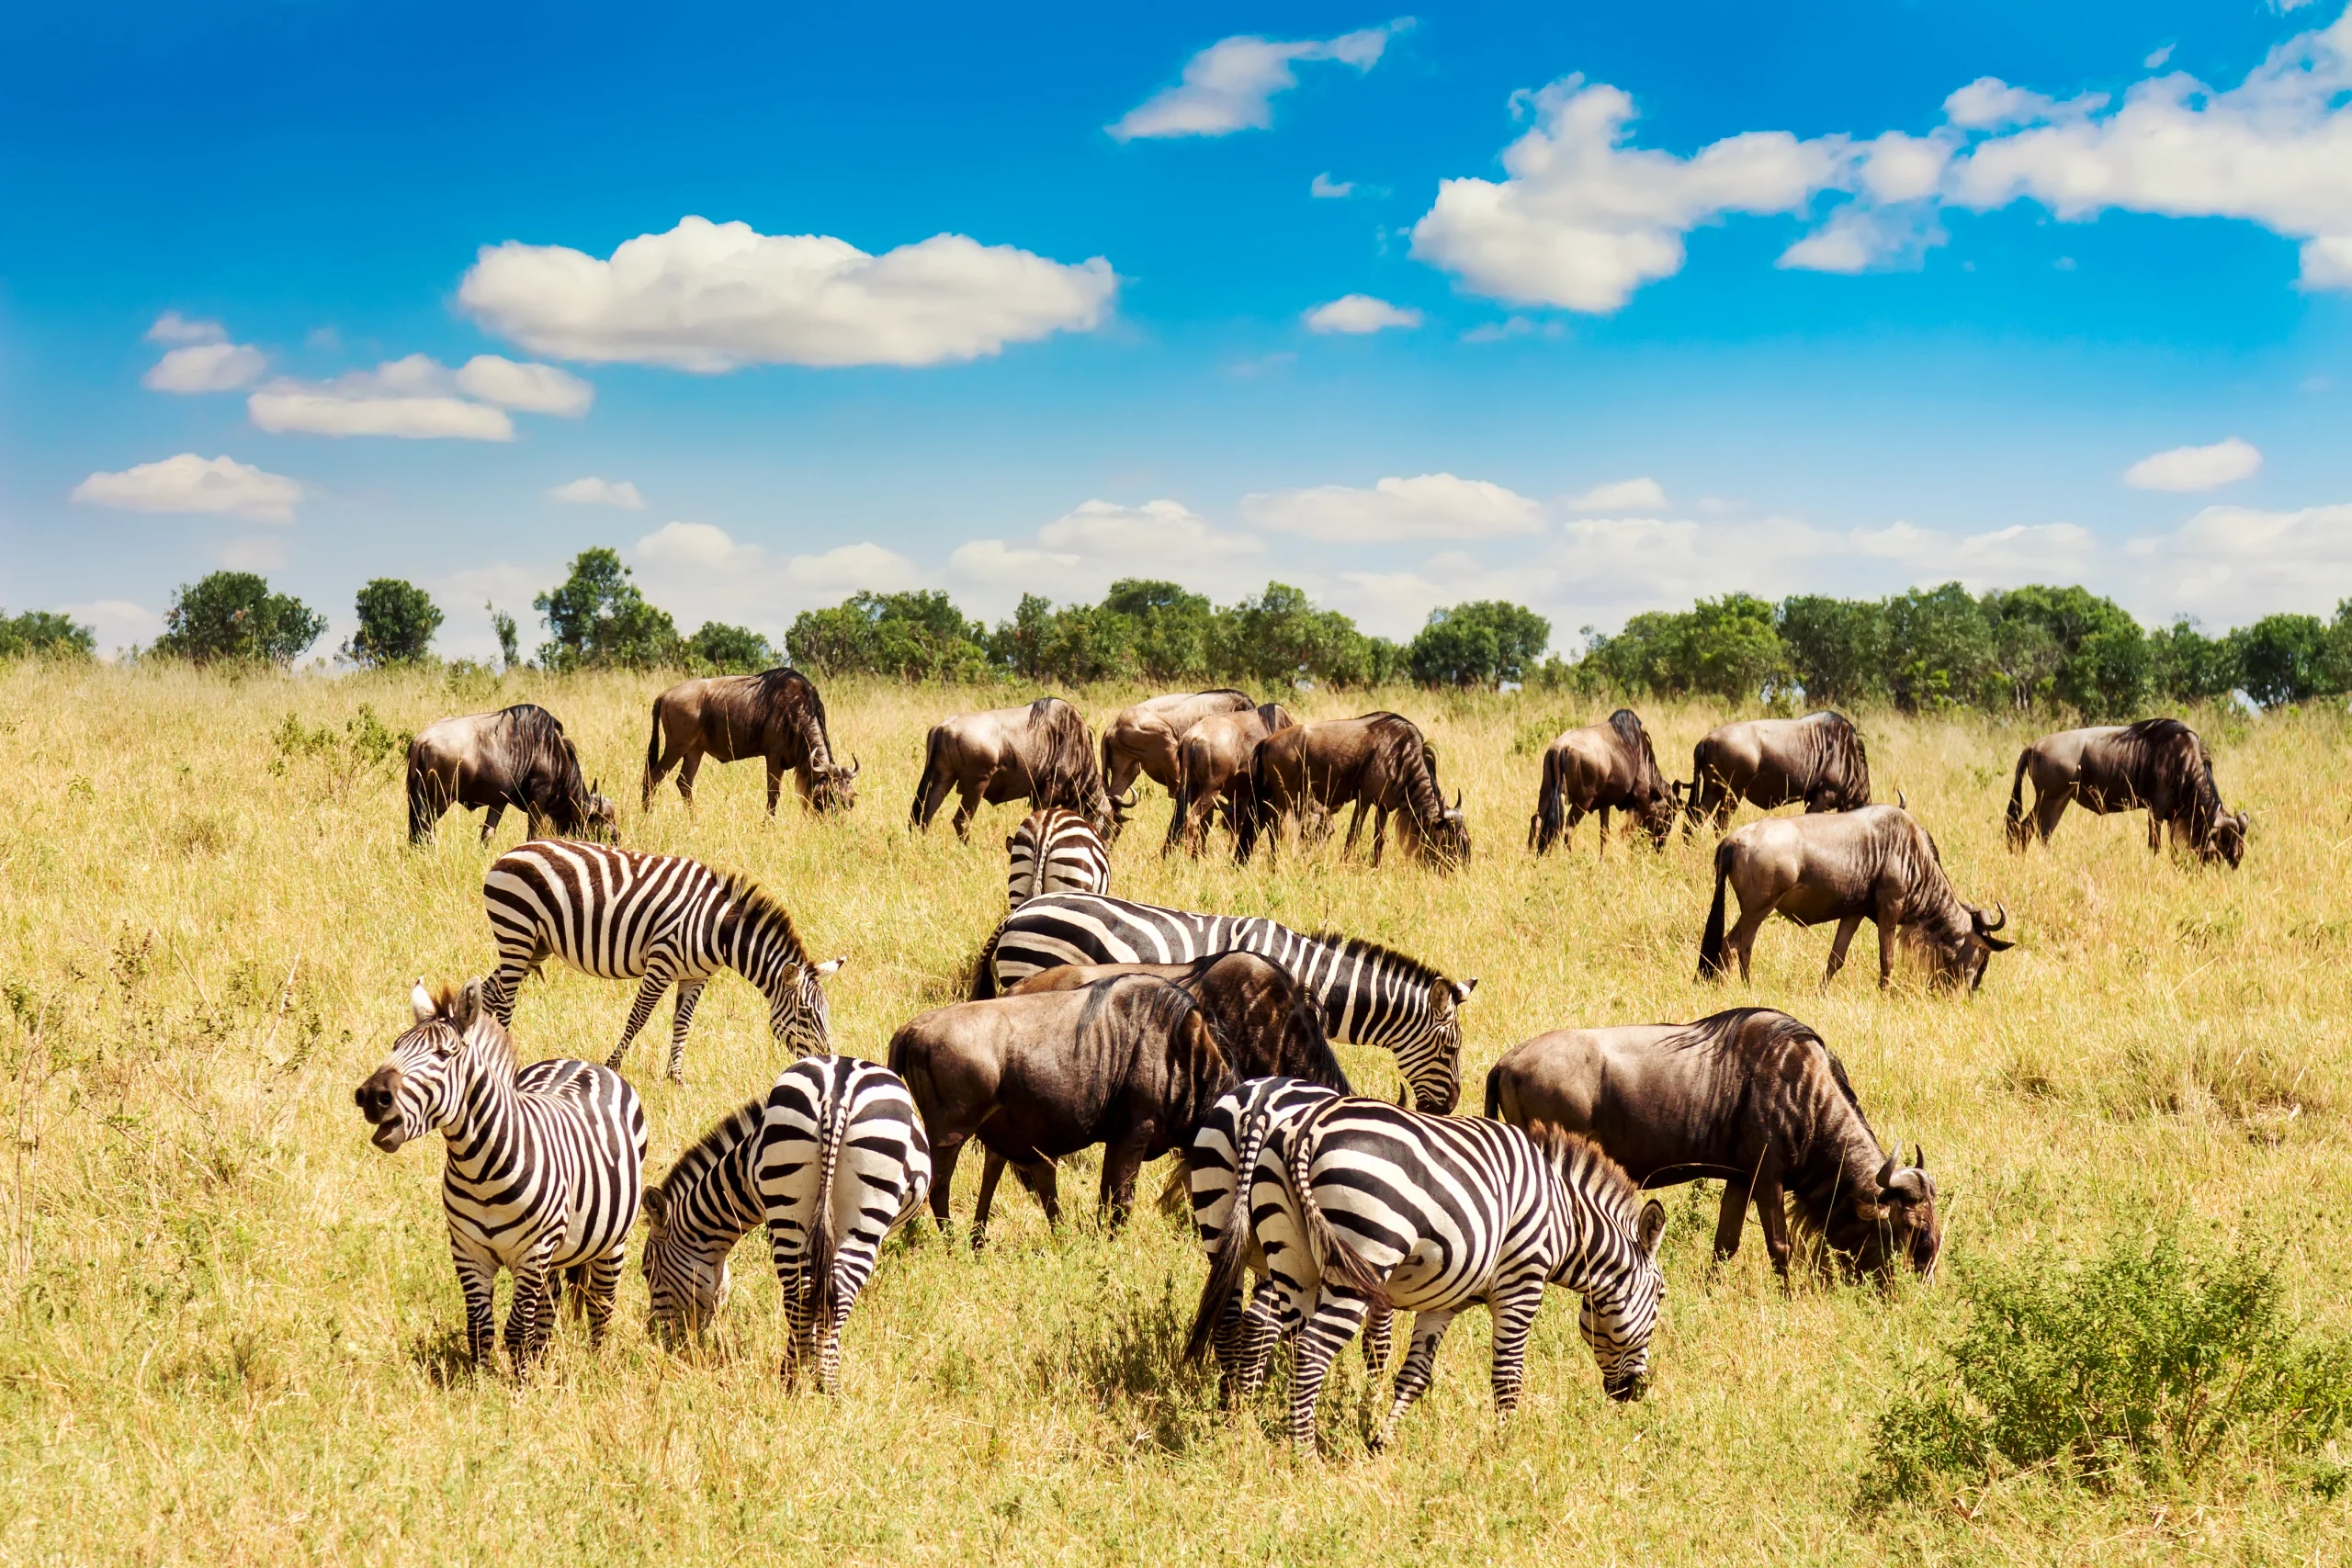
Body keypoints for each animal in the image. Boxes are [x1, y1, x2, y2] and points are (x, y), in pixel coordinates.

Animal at [353, 979, 647, 1374]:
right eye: (395, 1047)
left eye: (443, 1054)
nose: (371, 1096)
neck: (480, 1174)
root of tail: (583, 1062)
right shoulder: (468, 1251)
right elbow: (480, 1329)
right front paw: (483, 1383)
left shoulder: (532, 1253)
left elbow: (515, 1331)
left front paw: (517, 1387)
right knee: (549, 1306)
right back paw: (541, 1363)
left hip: (610, 1242)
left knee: (600, 1306)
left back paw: (596, 1365)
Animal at [479, 840, 843, 1083]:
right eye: (807, 1014)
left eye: (825, 1013)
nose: (828, 1063)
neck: (718, 930)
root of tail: (511, 852)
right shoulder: (661, 963)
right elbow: (637, 1018)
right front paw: (612, 1065)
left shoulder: (696, 976)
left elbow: (682, 1023)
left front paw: (675, 1077)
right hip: (517, 931)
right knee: (505, 999)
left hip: (536, 944)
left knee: (489, 991)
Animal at [640, 1055, 930, 1392]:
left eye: (647, 1270)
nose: (655, 1339)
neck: (740, 1171)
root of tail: (837, 1098)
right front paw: (813, 1367)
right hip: (849, 1214)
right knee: (825, 1292)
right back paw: (816, 1384)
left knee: (807, 1292)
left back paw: (798, 1381)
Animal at [1180, 1077, 1392, 1396]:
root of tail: (1257, 1112)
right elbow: (1378, 1334)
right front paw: (1374, 1392)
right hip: (1284, 1244)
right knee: (1259, 1320)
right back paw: (1250, 1397)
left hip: (1218, 1209)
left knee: (1229, 1319)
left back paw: (1230, 1401)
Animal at [1242, 1094, 1667, 1452]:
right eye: (1661, 1297)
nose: (1635, 1393)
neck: (1565, 1221)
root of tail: (1307, 1128)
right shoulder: (1522, 1284)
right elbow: (1507, 1379)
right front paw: (1504, 1450)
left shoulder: (1443, 1303)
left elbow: (1413, 1376)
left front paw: (1381, 1442)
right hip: (1364, 1256)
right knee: (1311, 1350)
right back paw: (1305, 1455)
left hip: (1292, 1259)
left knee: (1287, 1339)